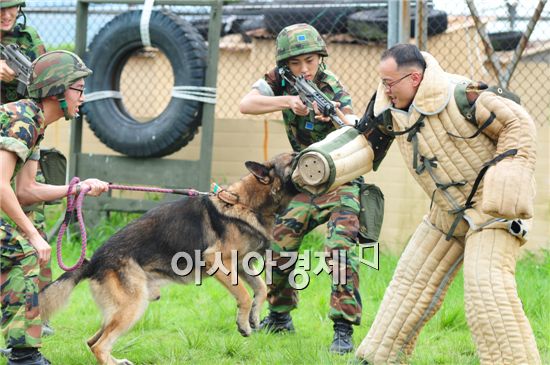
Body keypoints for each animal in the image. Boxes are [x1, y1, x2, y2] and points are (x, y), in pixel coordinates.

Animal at [40, 152, 300, 364]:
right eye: (293, 158)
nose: (305, 151)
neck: (246, 203)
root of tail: (94, 260)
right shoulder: (219, 262)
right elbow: (245, 295)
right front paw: (243, 324)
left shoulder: (241, 265)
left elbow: (261, 288)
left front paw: (254, 316)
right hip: (132, 308)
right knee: (99, 346)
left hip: (123, 309)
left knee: (92, 341)